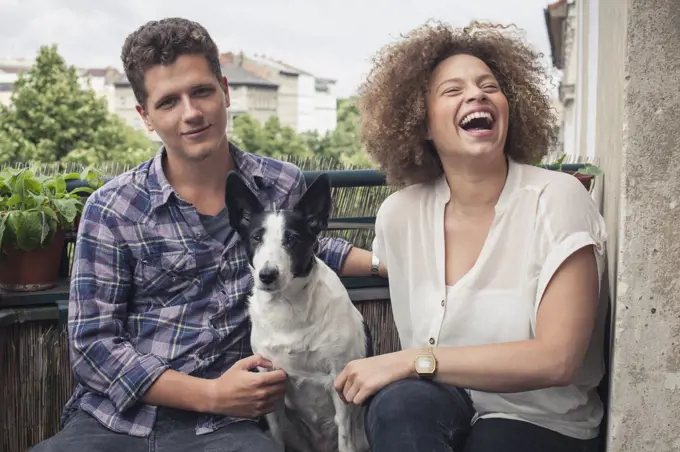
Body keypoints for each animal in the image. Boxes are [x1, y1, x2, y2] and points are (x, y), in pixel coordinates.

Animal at [226, 170, 370, 452]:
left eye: (292, 238)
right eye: (256, 237)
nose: (267, 275)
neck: (288, 306)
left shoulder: (341, 381)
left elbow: (344, 433)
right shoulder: (269, 381)